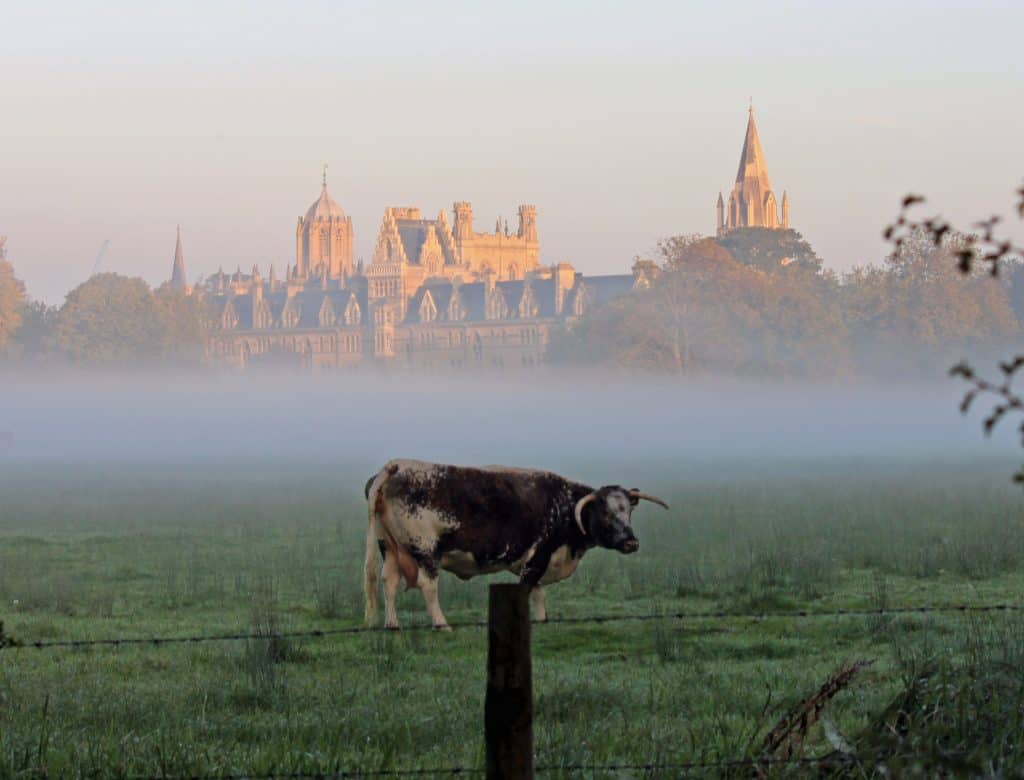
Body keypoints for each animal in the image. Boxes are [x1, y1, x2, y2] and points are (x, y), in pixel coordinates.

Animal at [364, 458, 667, 630]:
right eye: (605, 512)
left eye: (628, 511)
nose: (631, 542)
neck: (565, 506)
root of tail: (396, 465)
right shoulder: (539, 555)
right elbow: (527, 590)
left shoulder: (538, 561)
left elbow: (538, 594)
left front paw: (541, 621)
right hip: (425, 551)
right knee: (428, 586)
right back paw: (441, 624)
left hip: (389, 547)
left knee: (389, 582)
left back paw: (392, 625)